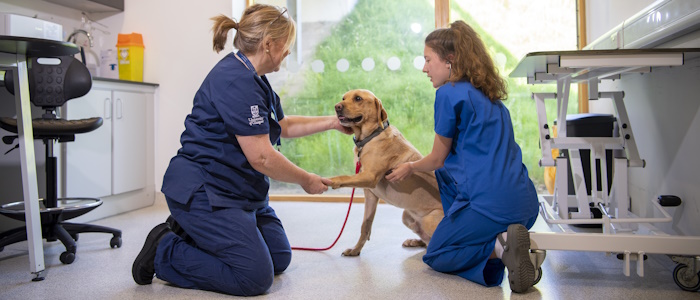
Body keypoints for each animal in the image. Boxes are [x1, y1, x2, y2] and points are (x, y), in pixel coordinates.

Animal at [328, 88, 442, 255]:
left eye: (358, 98)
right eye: (343, 98)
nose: (337, 107)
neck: (369, 138)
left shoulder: (369, 177)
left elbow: (344, 177)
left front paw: (331, 180)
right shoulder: (370, 195)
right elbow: (365, 226)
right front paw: (356, 250)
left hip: (428, 220)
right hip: (406, 216)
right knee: (427, 241)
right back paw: (414, 241)